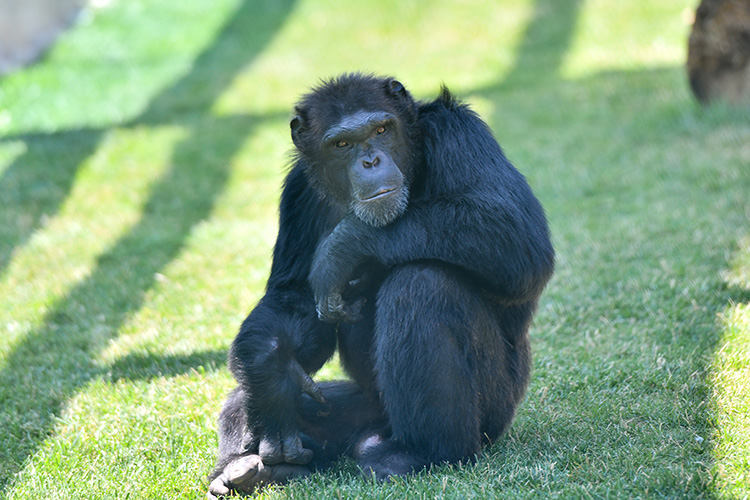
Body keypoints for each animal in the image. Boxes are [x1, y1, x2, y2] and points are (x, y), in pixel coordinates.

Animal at [209, 72, 556, 498]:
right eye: (341, 144)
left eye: (381, 129)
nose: (370, 160)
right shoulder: (298, 192)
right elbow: (291, 295)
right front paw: (270, 378)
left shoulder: (459, 132)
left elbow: (515, 232)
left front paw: (344, 245)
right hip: (360, 406)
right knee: (243, 402)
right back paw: (249, 466)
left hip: (496, 409)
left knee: (423, 284)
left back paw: (421, 452)